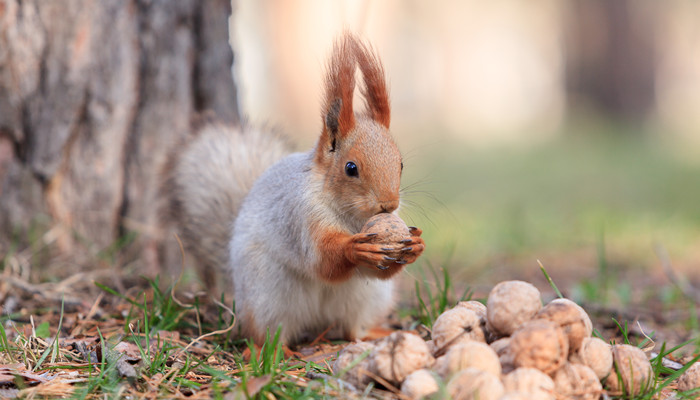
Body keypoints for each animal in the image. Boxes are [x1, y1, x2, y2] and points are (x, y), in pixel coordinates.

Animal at [163, 32, 426, 344]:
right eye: (351, 168)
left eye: (400, 164)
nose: (389, 204)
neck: (353, 217)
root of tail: (317, 323)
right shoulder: (301, 217)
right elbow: (323, 260)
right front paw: (355, 247)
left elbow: (376, 270)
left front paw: (416, 245)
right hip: (267, 294)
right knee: (266, 334)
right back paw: (275, 349)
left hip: (367, 297)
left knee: (351, 327)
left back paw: (373, 333)